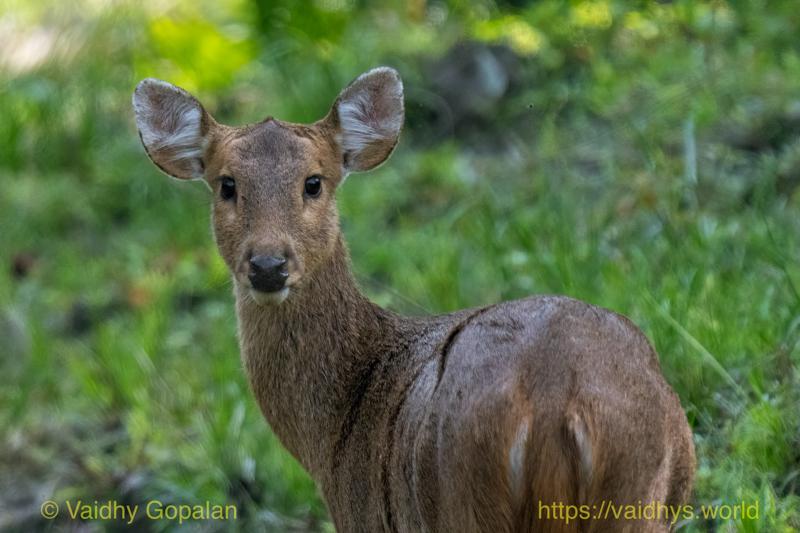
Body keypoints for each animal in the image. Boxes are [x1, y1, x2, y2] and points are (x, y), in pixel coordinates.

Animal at [132, 67, 695, 532]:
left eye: (313, 182)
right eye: (226, 184)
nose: (268, 265)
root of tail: (556, 400)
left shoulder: (364, 517)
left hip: (464, 503)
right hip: (643, 497)